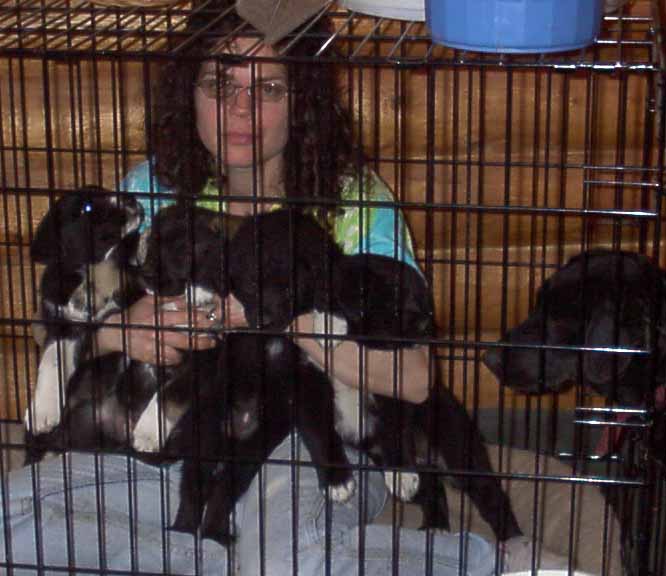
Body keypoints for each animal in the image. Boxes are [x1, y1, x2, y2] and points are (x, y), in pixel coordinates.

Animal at [226, 209, 520, 544]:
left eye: (289, 286)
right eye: (250, 283)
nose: (426, 325)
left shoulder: (393, 388)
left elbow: (396, 431)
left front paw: (401, 470)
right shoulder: (304, 384)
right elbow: (318, 432)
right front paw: (337, 482)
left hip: (456, 446)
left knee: (490, 494)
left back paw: (513, 541)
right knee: (433, 488)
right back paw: (434, 527)